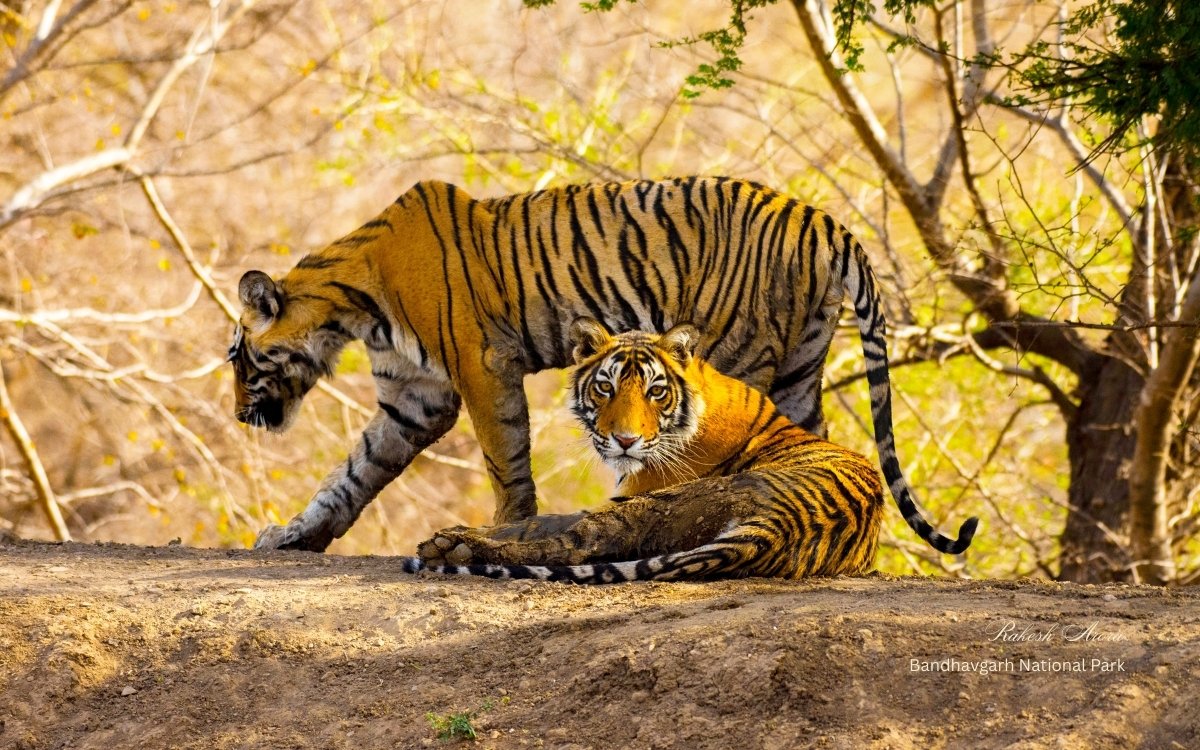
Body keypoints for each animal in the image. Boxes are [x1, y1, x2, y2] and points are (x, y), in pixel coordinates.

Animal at [230, 176, 971, 553]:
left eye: (238, 357)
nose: (239, 416)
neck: (353, 310)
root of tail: (821, 219)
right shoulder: (415, 399)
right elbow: (353, 474)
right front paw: (297, 535)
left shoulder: (482, 367)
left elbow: (506, 460)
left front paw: (503, 527)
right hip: (799, 364)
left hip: (736, 355)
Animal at [407, 319, 976, 582]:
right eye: (605, 388)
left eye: (655, 392)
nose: (625, 440)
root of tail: (780, 526)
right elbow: (535, 521)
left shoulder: (636, 492)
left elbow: (548, 528)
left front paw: (455, 539)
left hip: (665, 504)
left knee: (578, 545)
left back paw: (453, 554)